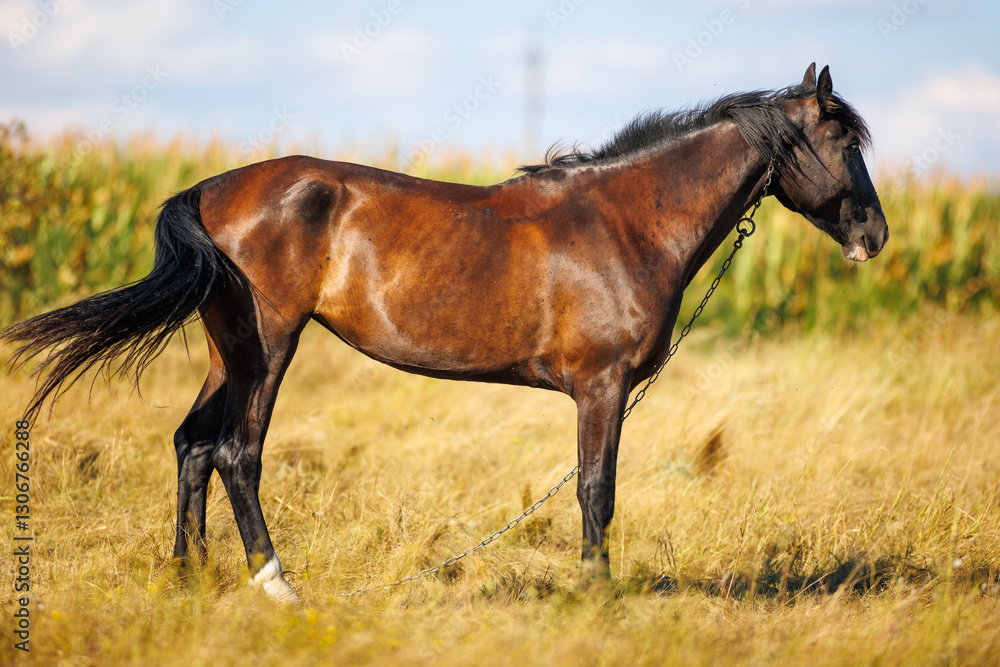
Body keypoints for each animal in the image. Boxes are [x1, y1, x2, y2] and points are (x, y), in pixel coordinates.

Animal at [2, 63, 887, 601]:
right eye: (843, 140)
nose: (874, 235)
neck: (627, 220)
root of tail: (212, 189)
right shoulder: (600, 387)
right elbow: (596, 488)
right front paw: (597, 591)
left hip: (230, 350)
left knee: (192, 443)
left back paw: (189, 576)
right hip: (268, 348)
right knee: (236, 453)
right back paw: (276, 581)